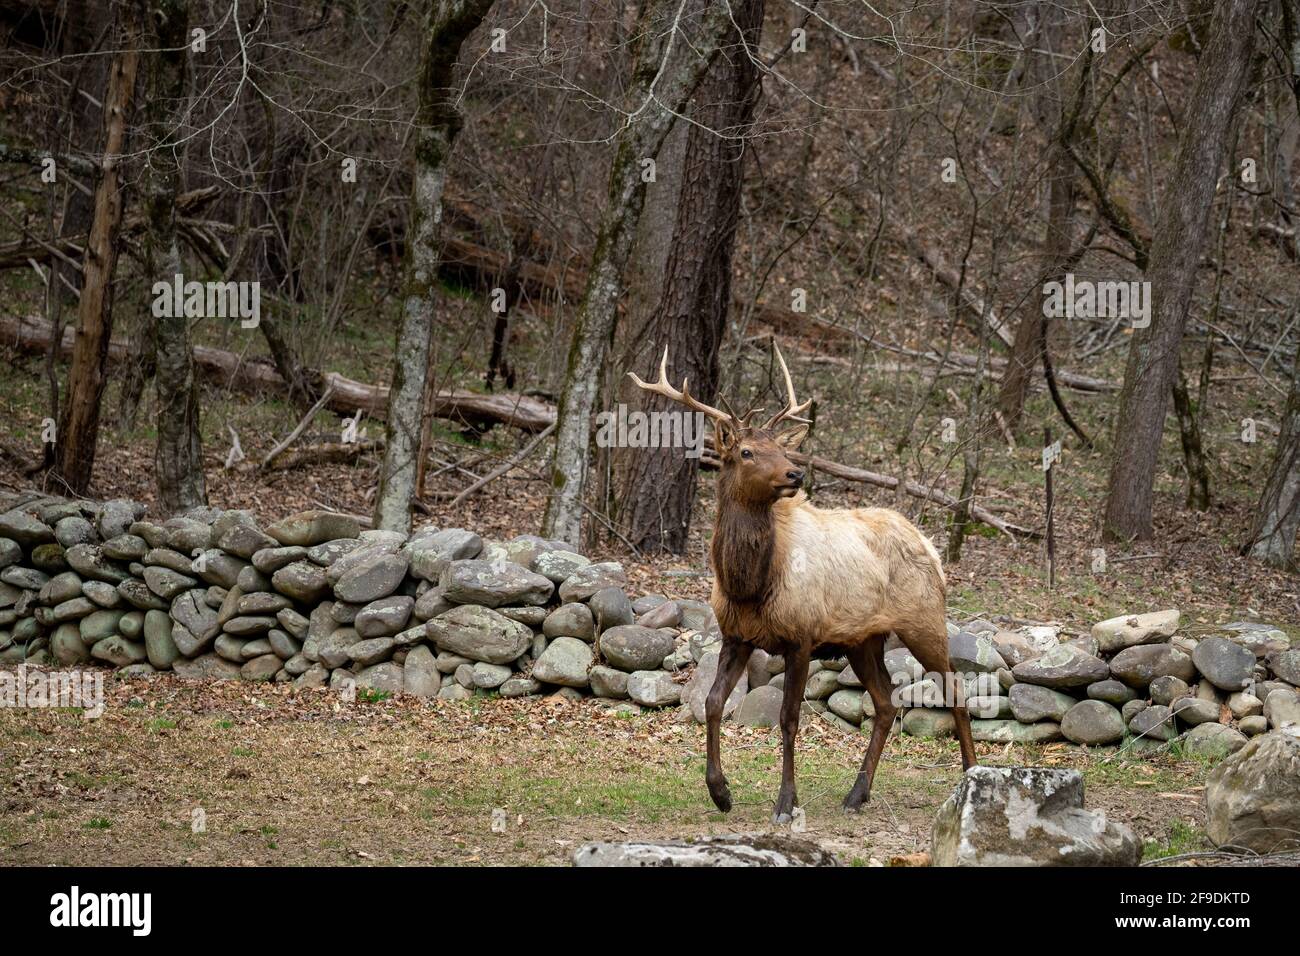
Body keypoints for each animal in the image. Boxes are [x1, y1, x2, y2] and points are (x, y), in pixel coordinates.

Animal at [629, 343, 977, 822]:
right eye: (747, 452)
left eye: (780, 447)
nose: (795, 474)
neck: (749, 585)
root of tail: (932, 548)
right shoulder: (736, 636)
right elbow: (712, 703)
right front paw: (720, 792)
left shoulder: (801, 636)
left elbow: (789, 718)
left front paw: (785, 803)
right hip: (862, 640)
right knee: (887, 701)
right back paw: (857, 793)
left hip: (924, 620)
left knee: (956, 690)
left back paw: (970, 774)